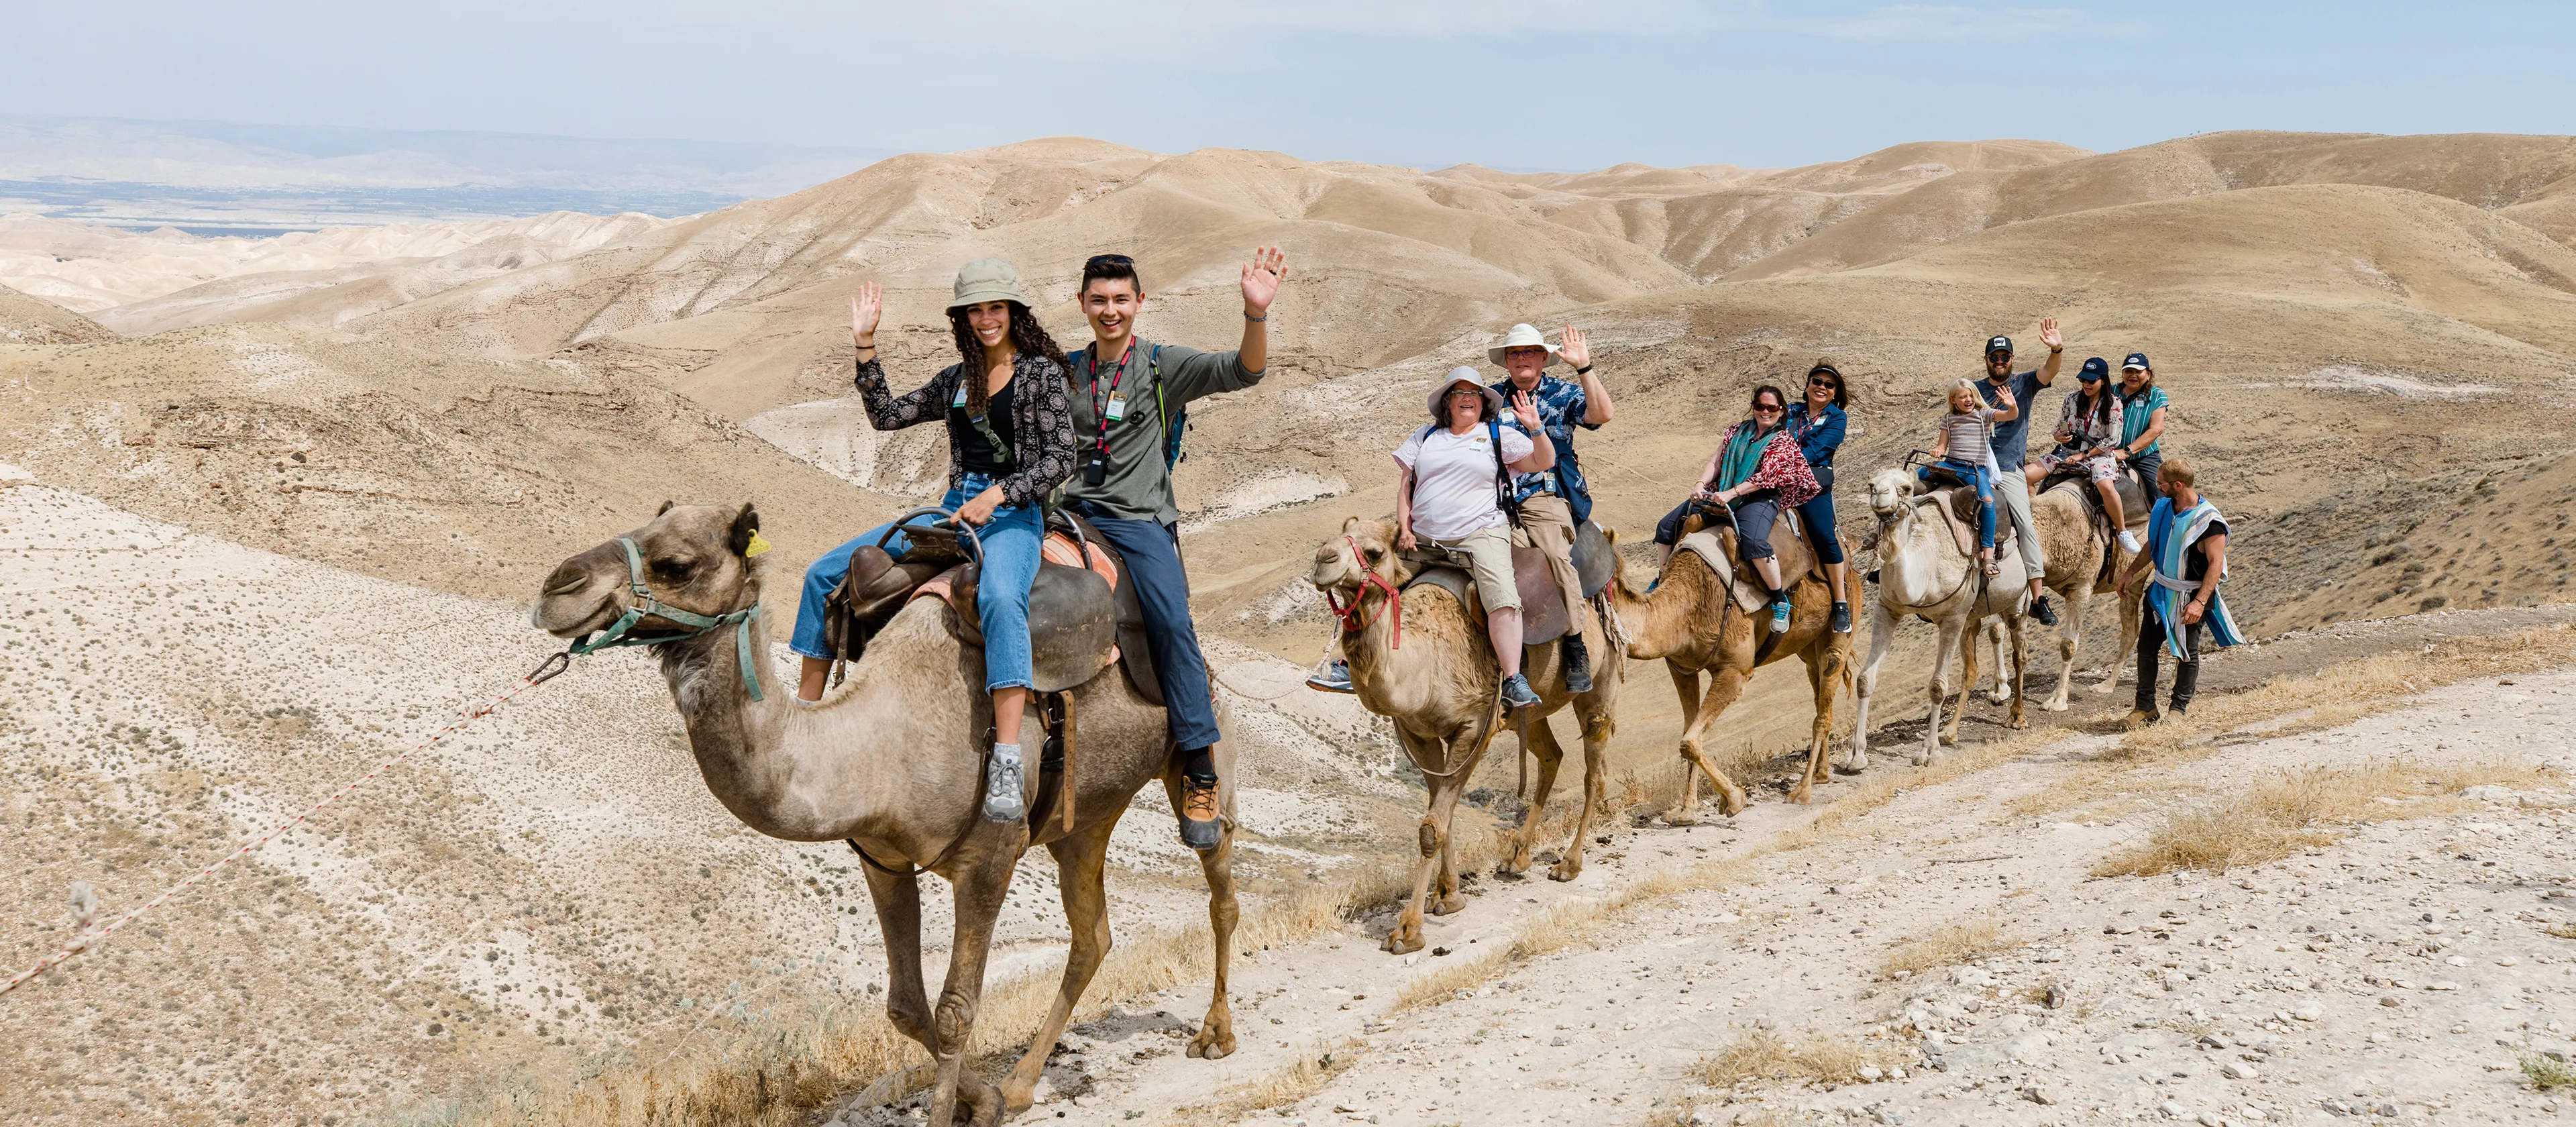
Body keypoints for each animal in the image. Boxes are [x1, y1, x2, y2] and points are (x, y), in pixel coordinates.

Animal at [533, 504, 1236, 1127]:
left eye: (677, 563)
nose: (557, 585)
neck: (883, 734)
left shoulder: (991, 856)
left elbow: (956, 1010)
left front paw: (958, 1108)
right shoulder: (884, 858)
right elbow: (905, 1007)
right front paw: (985, 1102)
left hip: (1201, 738)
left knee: (1219, 883)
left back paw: (1215, 1034)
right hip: (1084, 821)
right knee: (1093, 934)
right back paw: (1022, 1084)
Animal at [1319, 517, 1617, 952]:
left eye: (1374, 553)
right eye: (1330, 540)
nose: (1323, 560)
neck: (1422, 659)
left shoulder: (1475, 725)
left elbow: (1432, 827)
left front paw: (1408, 929)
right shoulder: (1419, 734)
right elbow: (1439, 813)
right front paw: (1448, 895)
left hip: (1601, 680)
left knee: (1594, 770)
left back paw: (1568, 864)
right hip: (1535, 706)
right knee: (1552, 756)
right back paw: (1516, 856)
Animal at [1607, 519, 1854, 818]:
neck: (1686, 605)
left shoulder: (1735, 671)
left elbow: (1690, 741)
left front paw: (1734, 798)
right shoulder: (1681, 669)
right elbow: (1689, 731)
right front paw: (1686, 810)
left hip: (1841, 622)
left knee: (1826, 698)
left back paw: (1802, 792)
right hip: (1807, 646)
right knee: (1819, 694)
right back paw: (1821, 774)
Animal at [1854, 466, 2029, 767]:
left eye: (1906, 488)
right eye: (1871, 484)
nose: (1880, 495)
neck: (1925, 567)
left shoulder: (1953, 617)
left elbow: (1937, 686)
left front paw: (1928, 752)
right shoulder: (1887, 609)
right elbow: (1865, 679)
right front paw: (1856, 756)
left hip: (2017, 601)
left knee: (2019, 653)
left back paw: (2016, 716)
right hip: (1972, 618)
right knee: (1972, 668)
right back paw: (1951, 731)